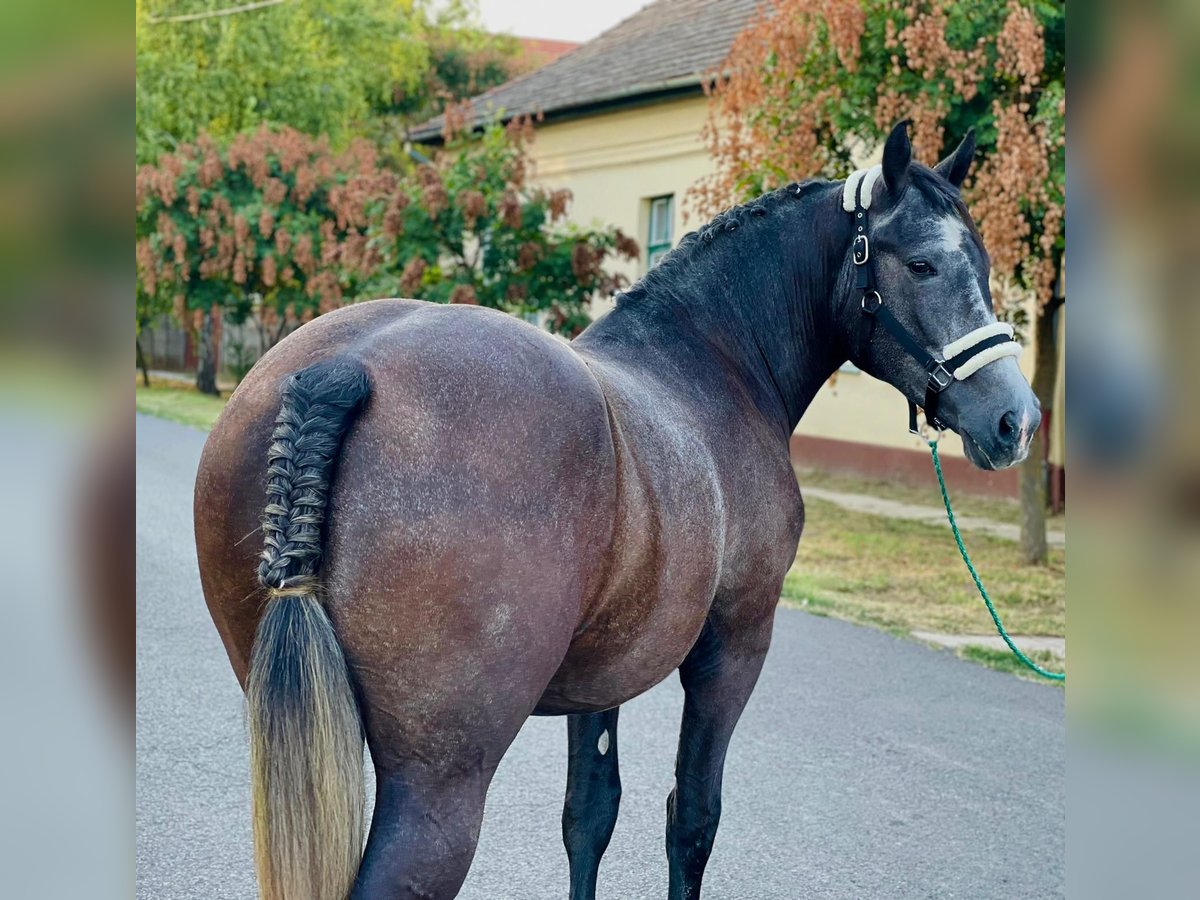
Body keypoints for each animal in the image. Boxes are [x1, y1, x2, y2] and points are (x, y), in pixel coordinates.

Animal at [196, 123, 1041, 900]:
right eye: (923, 262)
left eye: (986, 265)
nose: (1016, 419)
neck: (710, 364)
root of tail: (341, 370)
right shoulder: (731, 651)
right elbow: (692, 817)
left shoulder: (597, 681)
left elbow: (588, 816)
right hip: (439, 781)